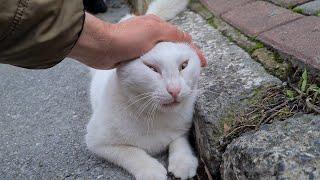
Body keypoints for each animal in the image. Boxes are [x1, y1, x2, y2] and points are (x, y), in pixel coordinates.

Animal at [85, 0, 200, 179]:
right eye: (151, 68)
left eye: (184, 65)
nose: (174, 89)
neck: (154, 117)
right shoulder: (96, 140)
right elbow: (130, 152)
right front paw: (150, 171)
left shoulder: (184, 126)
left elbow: (179, 139)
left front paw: (183, 161)